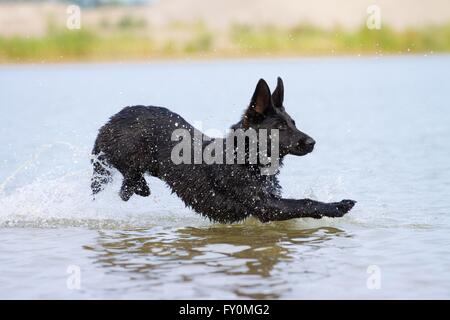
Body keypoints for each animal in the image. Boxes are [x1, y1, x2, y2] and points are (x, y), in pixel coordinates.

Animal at [92, 77, 356, 222]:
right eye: (280, 127)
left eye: (293, 122)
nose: (312, 142)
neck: (245, 157)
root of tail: (111, 120)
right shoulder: (267, 206)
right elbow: (305, 202)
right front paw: (336, 206)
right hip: (126, 153)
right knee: (128, 177)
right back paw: (139, 186)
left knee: (125, 187)